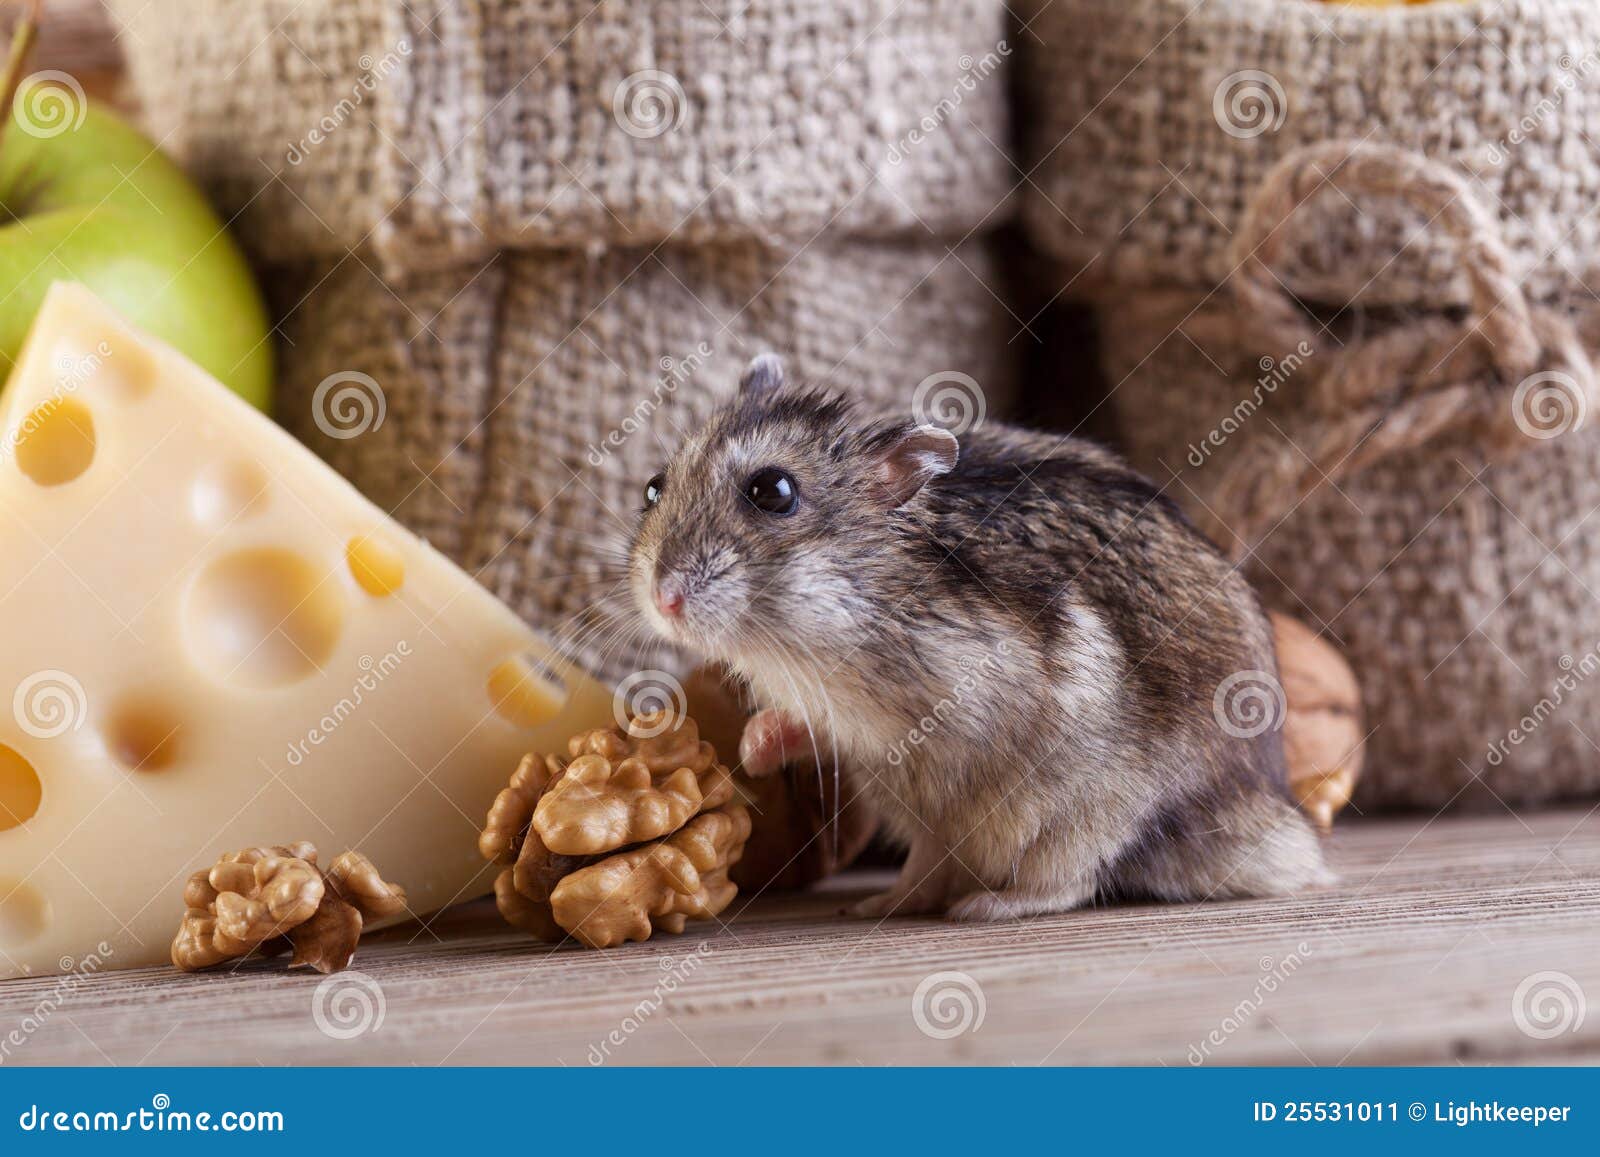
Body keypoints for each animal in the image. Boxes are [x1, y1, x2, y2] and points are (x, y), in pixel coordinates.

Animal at [624, 355, 1324, 921]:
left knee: (1067, 879)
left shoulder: (957, 736)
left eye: (773, 491)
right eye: (653, 486)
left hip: (1089, 808)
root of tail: (1276, 823)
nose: (664, 600)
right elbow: (811, 729)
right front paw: (756, 746)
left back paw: (981, 906)